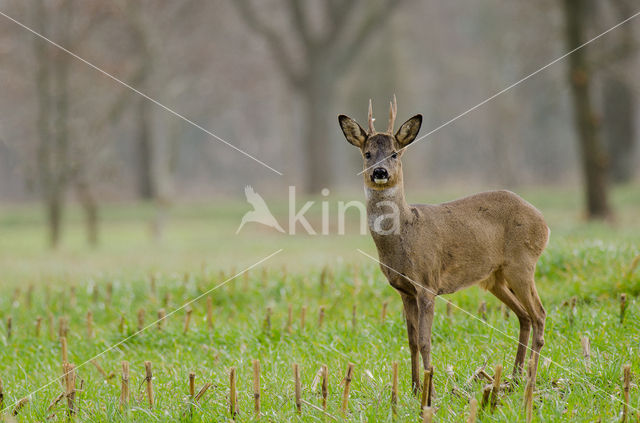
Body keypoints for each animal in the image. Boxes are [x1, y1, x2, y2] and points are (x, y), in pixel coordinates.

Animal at [338, 98, 548, 394]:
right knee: (524, 316)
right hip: (495, 277)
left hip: (522, 263)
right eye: (367, 154)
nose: (380, 172)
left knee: (539, 314)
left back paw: (529, 378)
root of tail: (543, 222)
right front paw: (414, 387)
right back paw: (514, 377)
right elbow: (411, 341)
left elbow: (425, 340)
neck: (405, 234)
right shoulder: (404, 290)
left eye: (394, 154)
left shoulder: (427, 282)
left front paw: (430, 390)